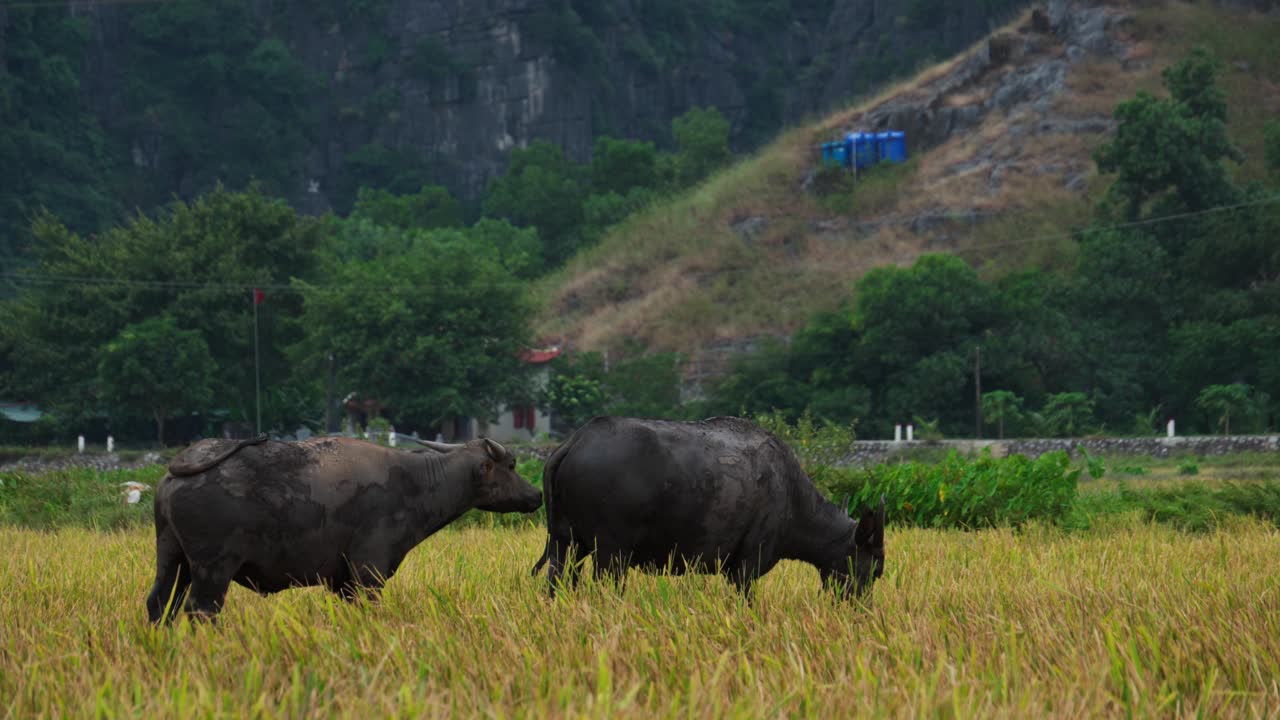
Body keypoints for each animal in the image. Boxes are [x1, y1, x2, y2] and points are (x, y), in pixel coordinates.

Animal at [147, 434, 541, 623]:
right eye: (511, 464)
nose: (536, 494)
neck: (414, 482)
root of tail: (181, 467)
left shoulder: (342, 583)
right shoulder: (369, 573)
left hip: (171, 559)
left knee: (159, 604)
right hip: (212, 569)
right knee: (201, 610)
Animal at [531, 416, 886, 599]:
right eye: (873, 569)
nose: (860, 608)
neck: (791, 498)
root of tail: (575, 441)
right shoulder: (747, 566)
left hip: (566, 546)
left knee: (557, 582)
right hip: (610, 552)